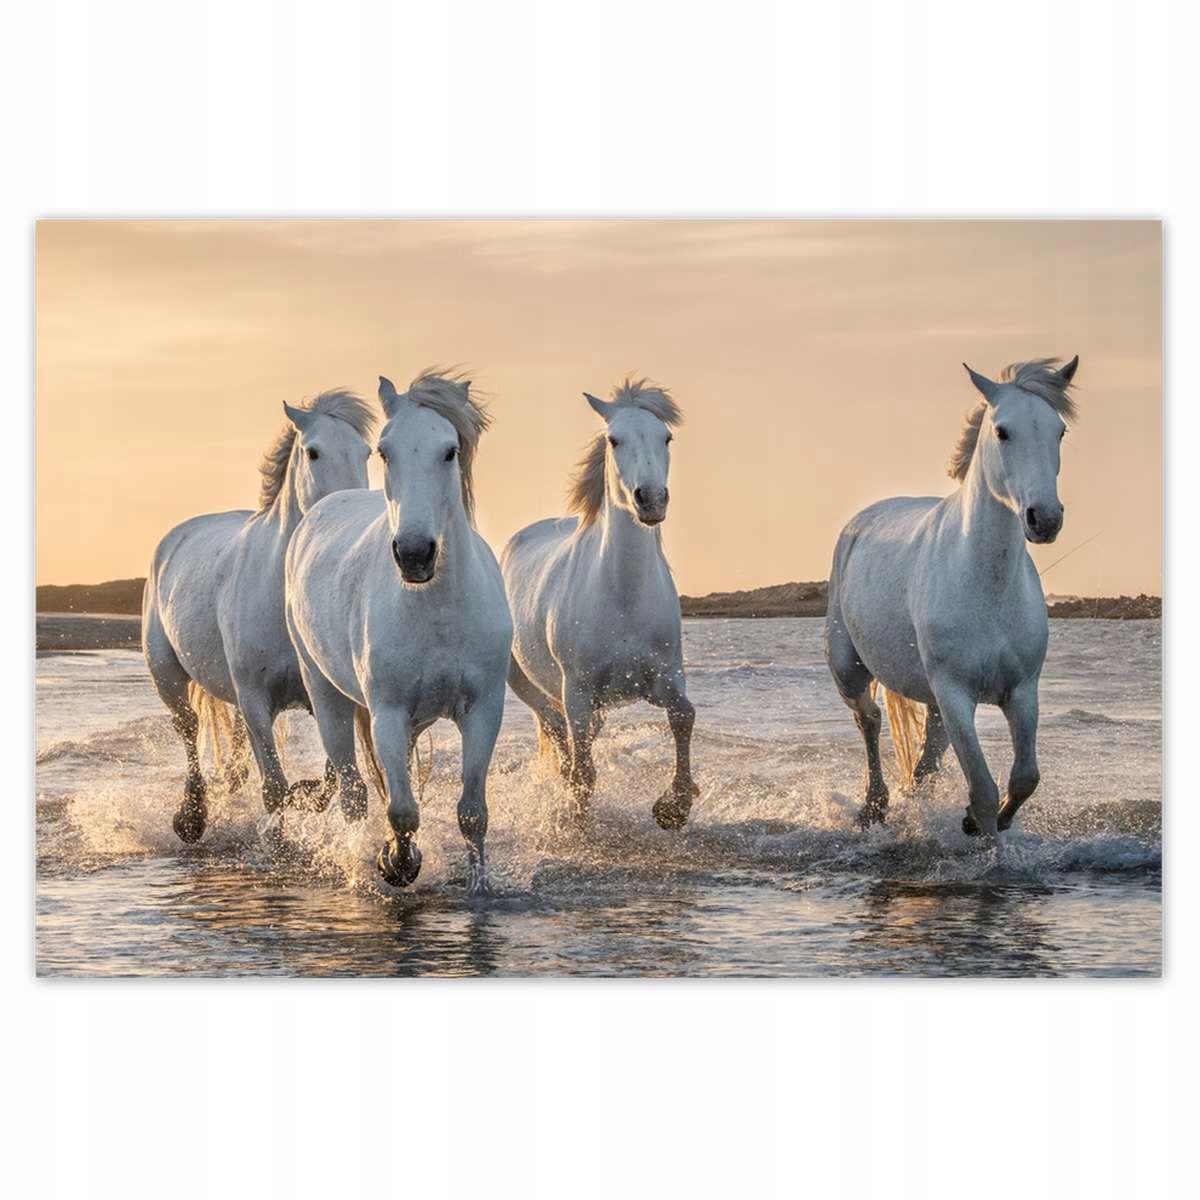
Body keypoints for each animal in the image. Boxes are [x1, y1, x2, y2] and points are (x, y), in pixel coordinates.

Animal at [143, 389, 375, 842]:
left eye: (366, 452)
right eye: (313, 452)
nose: (349, 512)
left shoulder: (322, 695)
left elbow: (329, 777)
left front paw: (305, 796)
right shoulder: (255, 699)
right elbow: (274, 787)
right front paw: (278, 838)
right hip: (167, 675)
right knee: (189, 729)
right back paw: (191, 818)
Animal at [284, 371, 512, 890]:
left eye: (450, 450)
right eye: (384, 452)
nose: (413, 554)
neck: (438, 609)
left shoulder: (483, 710)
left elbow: (473, 812)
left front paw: (480, 886)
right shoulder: (386, 713)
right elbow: (402, 810)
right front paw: (397, 863)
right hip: (325, 694)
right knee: (353, 790)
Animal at [501, 378, 699, 831]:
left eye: (666, 437)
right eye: (614, 440)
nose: (651, 500)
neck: (623, 597)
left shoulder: (665, 678)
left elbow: (684, 715)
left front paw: (674, 807)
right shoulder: (577, 690)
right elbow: (583, 771)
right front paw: (578, 822)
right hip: (531, 686)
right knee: (560, 737)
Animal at [824, 356, 1079, 838]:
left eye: (1059, 431)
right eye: (1002, 431)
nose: (1045, 519)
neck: (985, 586)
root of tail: (861, 521)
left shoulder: (1022, 692)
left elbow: (1024, 778)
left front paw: (980, 823)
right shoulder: (955, 694)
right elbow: (982, 789)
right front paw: (984, 835)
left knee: (925, 758)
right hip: (849, 670)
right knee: (869, 720)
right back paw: (873, 808)